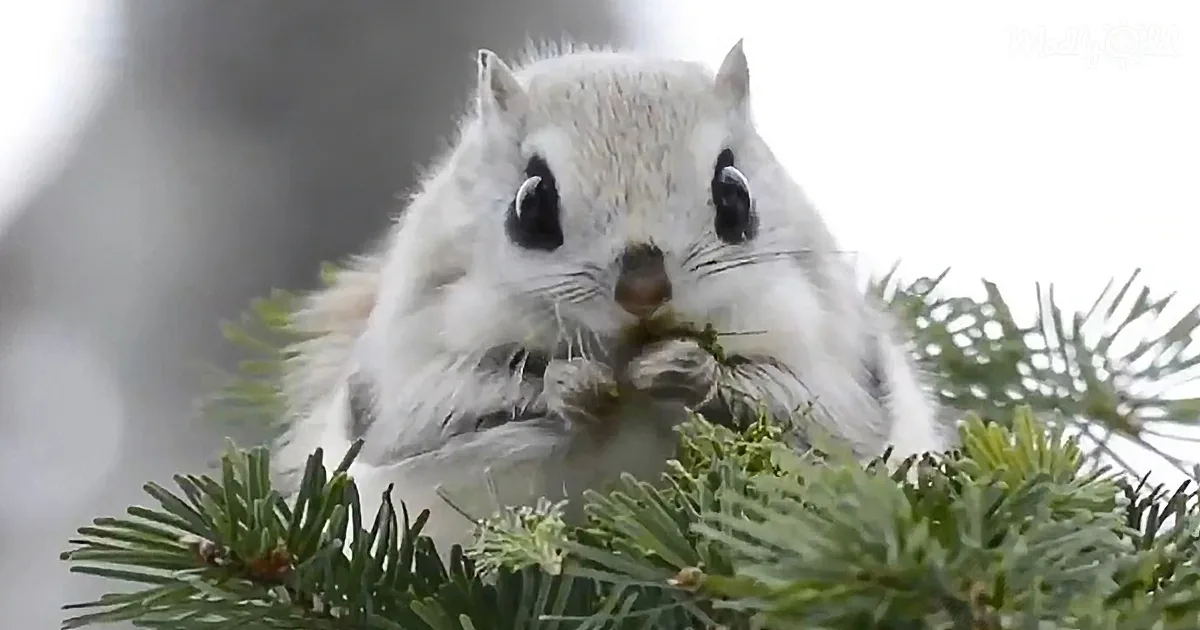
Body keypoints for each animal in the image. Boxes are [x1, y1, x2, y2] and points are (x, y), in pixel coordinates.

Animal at [272, 40, 951, 553]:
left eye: (735, 193)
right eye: (530, 204)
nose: (645, 289)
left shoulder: (833, 368)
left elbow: (803, 405)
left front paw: (689, 369)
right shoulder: (413, 383)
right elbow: (459, 407)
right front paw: (572, 387)